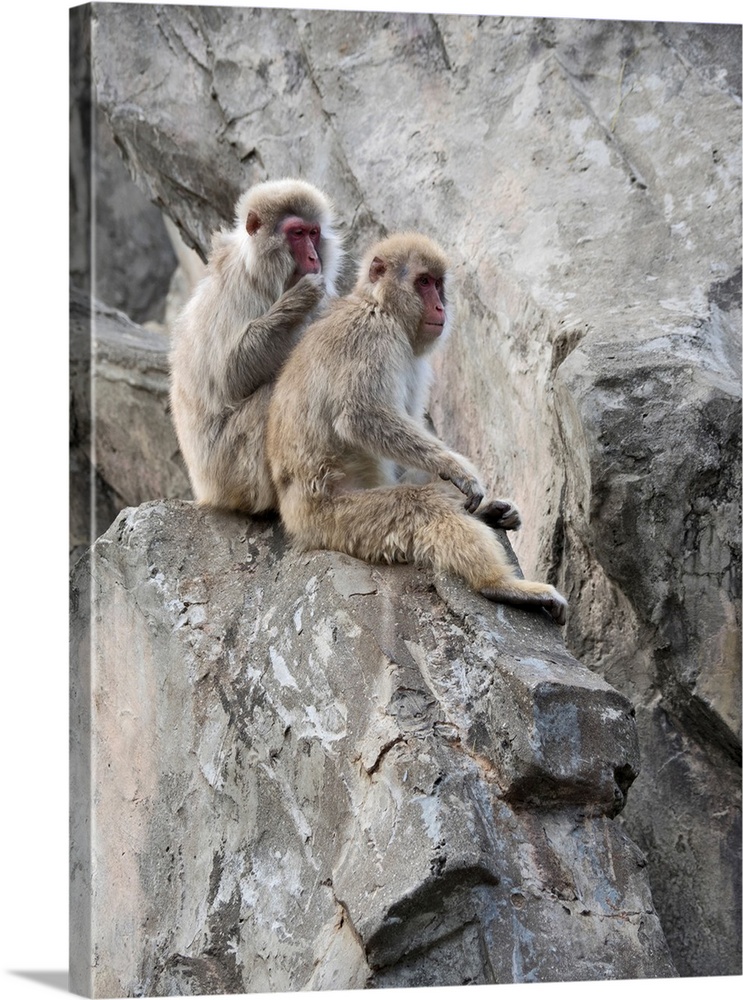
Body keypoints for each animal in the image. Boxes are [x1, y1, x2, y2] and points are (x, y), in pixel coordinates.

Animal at [170, 175, 344, 512]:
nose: (314, 258)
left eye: (313, 233)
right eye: (297, 233)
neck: (264, 274)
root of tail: (204, 490)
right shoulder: (239, 286)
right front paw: (297, 302)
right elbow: (229, 374)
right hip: (228, 470)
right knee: (270, 397)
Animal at [268, 234, 568, 624]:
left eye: (439, 284)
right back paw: (499, 584)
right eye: (424, 282)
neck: (380, 307)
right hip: (336, 520)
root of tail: (291, 514)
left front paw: (475, 496)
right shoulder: (371, 335)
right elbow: (360, 416)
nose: (440, 307)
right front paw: (456, 468)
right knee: (420, 506)